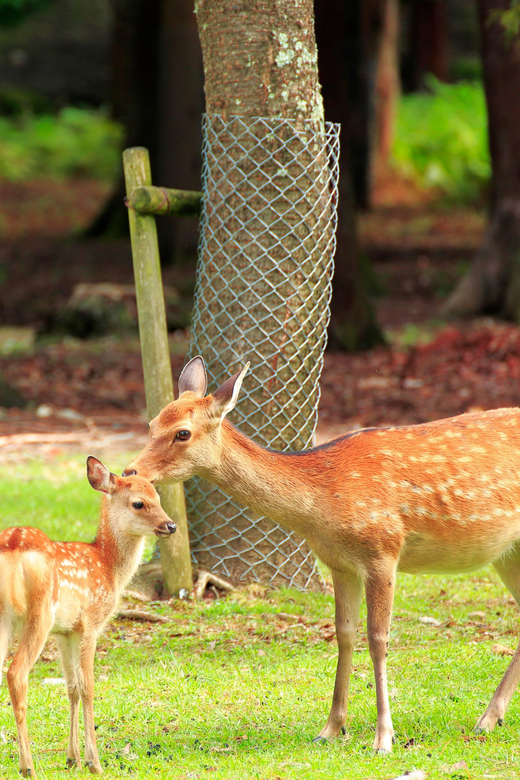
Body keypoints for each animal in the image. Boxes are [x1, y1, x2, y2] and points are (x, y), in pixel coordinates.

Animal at [0, 458, 177, 772]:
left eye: (158, 497)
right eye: (139, 503)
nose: (171, 525)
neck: (108, 566)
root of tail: (12, 547)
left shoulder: (65, 631)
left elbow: (71, 687)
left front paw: (72, 758)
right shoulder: (91, 623)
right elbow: (88, 687)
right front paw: (94, 761)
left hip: (8, 616)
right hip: (40, 612)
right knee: (16, 674)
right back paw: (27, 766)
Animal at [124, 356, 520, 752]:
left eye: (183, 433)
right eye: (151, 424)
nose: (131, 470)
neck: (321, 503)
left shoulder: (383, 550)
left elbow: (378, 639)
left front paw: (383, 738)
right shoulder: (339, 563)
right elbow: (343, 633)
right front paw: (331, 729)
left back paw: (486, 718)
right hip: (507, 554)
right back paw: (489, 719)